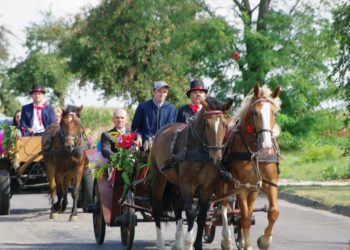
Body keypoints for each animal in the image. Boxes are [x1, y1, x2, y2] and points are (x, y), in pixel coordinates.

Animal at [150, 97, 232, 250]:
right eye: (207, 124)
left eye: (225, 124)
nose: (216, 158)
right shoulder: (187, 184)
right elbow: (190, 212)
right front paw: (189, 242)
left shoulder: (207, 187)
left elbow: (202, 215)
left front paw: (197, 244)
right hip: (159, 178)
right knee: (157, 208)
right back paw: (160, 243)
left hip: (176, 182)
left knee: (177, 206)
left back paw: (178, 242)